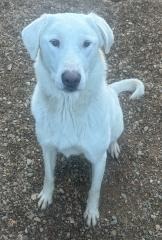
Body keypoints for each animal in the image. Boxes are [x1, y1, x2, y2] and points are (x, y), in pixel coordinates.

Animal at [21, 13, 144, 227]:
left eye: (87, 43)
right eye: (54, 42)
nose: (71, 79)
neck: (68, 108)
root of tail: (111, 89)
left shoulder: (98, 159)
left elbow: (94, 189)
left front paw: (91, 212)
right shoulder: (47, 148)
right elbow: (48, 176)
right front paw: (46, 196)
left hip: (118, 123)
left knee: (113, 137)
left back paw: (113, 146)